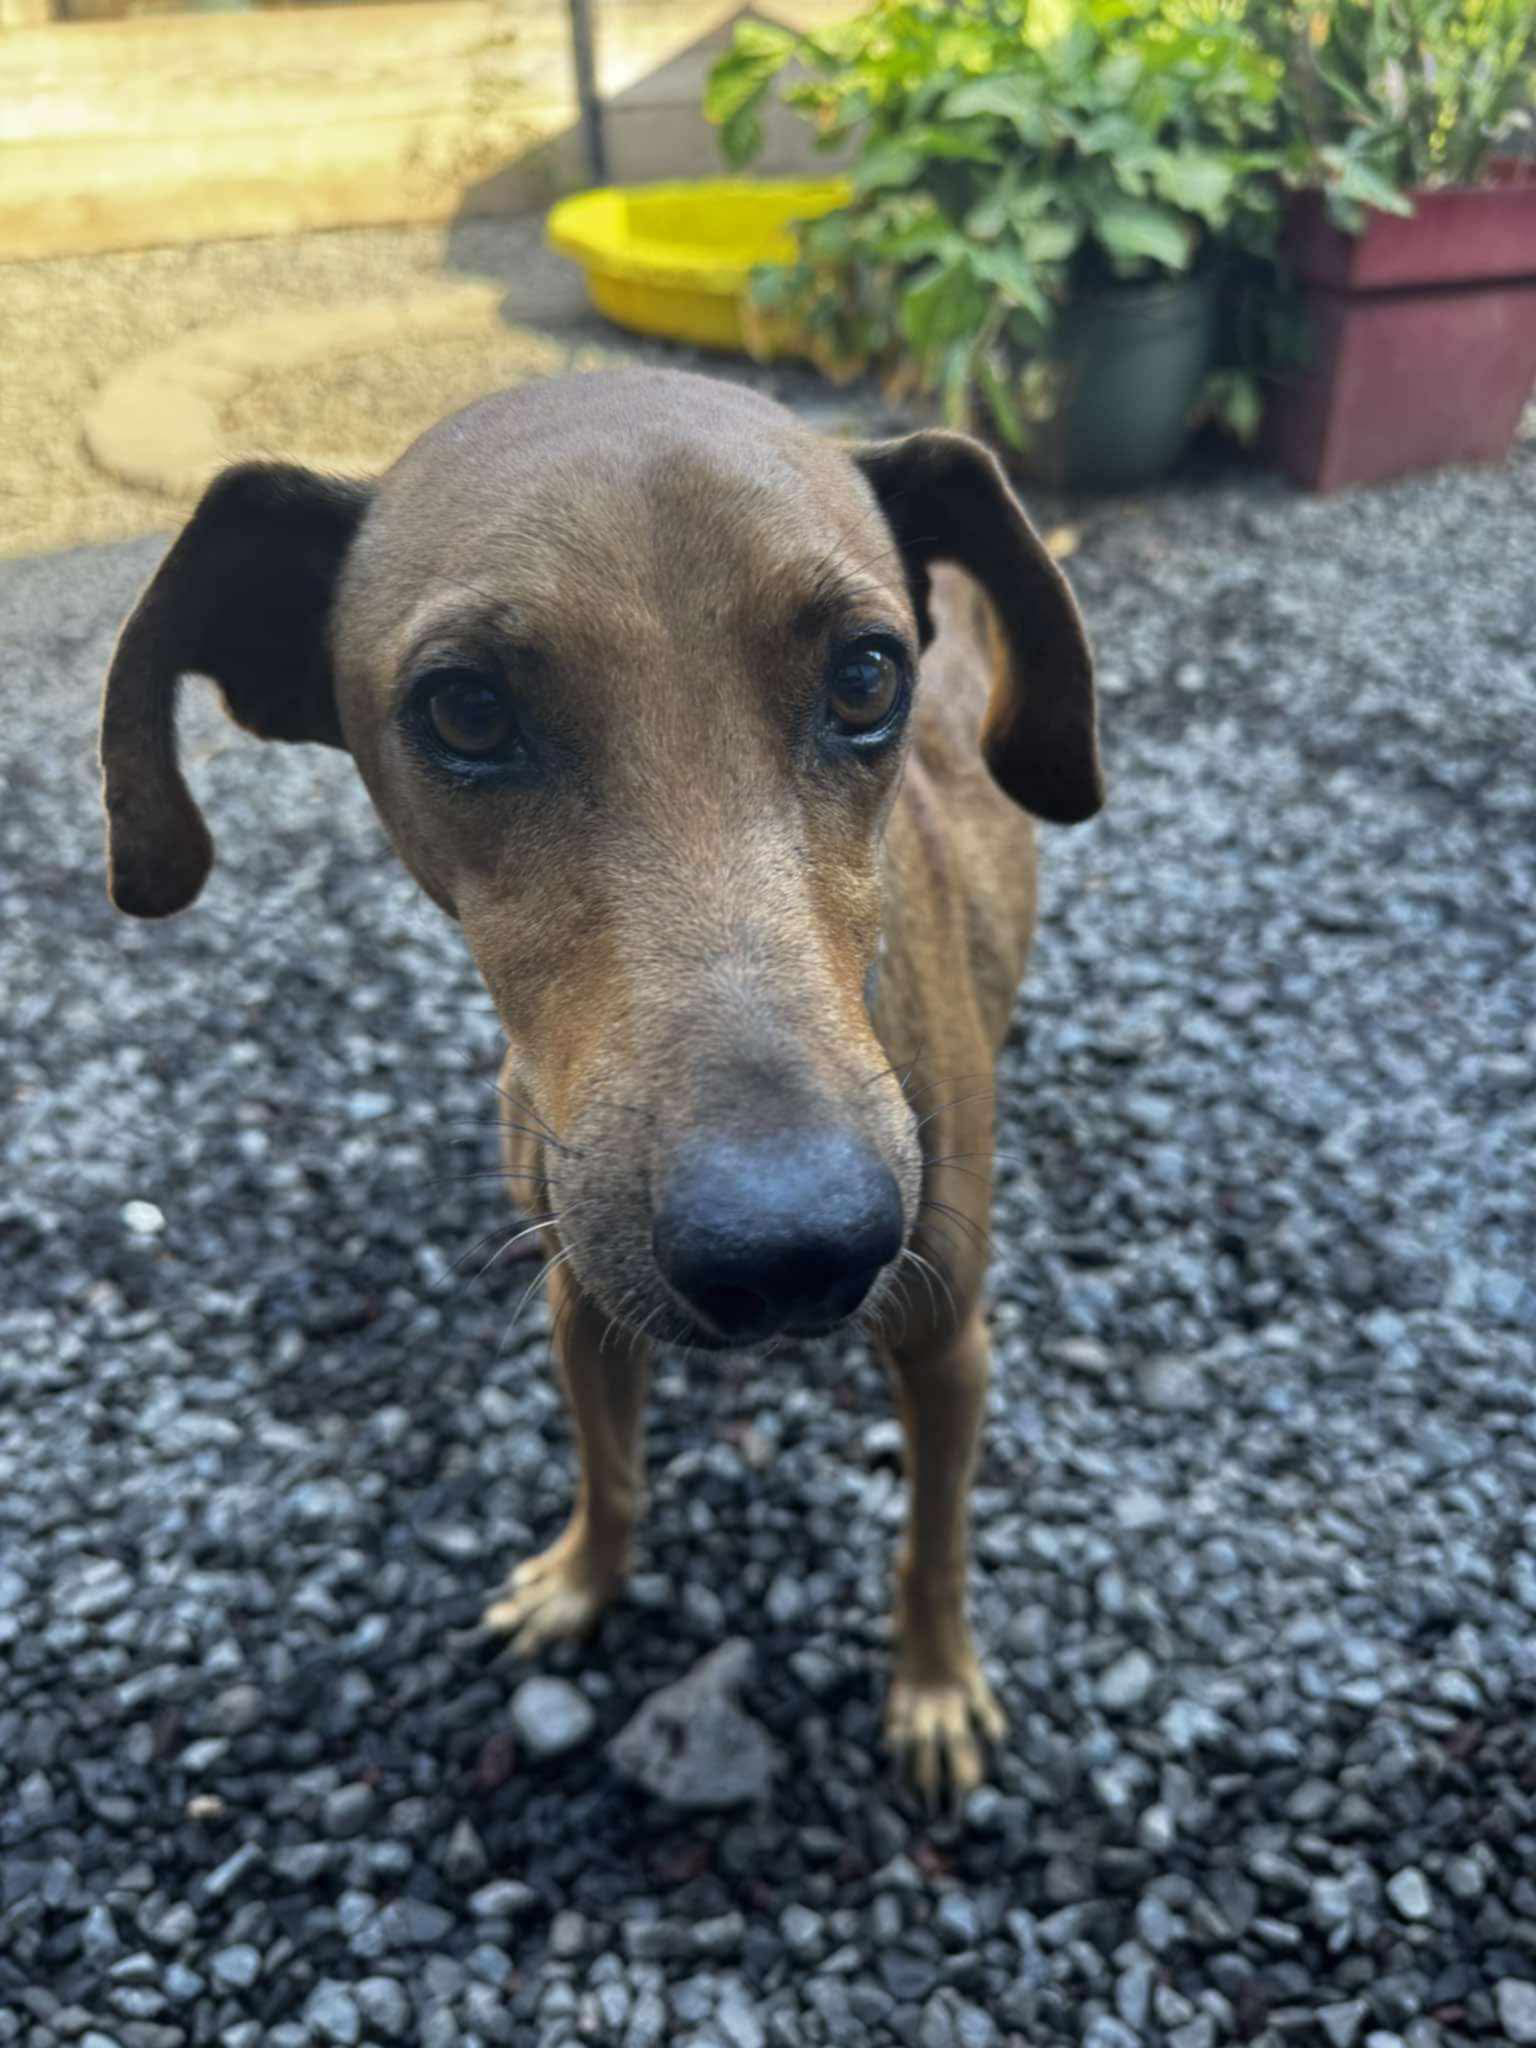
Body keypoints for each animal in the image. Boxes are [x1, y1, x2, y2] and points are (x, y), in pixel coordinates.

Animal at [98, 368, 1102, 1799]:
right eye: (465, 708)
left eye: (866, 675)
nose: (796, 1248)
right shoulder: (584, 1297)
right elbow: (612, 1472)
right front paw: (584, 1582)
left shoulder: (947, 1335)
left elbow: (936, 1542)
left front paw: (935, 1687)